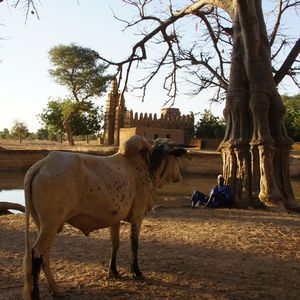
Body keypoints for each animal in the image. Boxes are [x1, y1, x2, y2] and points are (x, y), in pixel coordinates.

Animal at [23, 136, 186, 300]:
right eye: (175, 157)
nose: (180, 176)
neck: (148, 166)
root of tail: (42, 164)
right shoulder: (138, 216)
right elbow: (134, 244)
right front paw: (136, 272)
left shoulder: (115, 219)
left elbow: (115, 244)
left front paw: (113, 272)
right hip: (50, 224)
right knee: (36, 254)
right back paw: (37, 294)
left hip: (44, 225)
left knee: (45, 255)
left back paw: (56, 290)